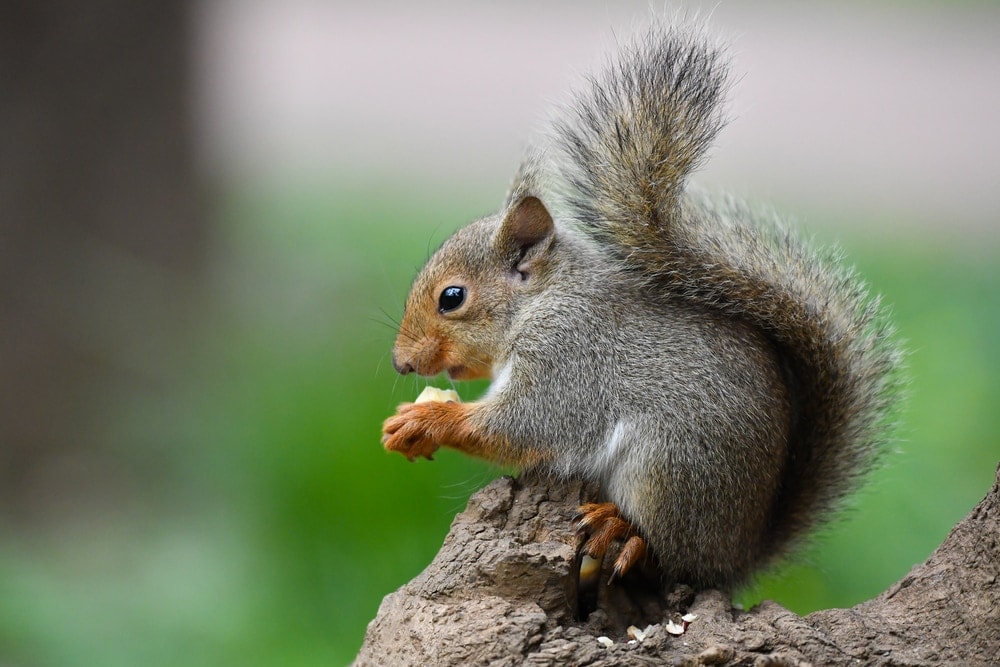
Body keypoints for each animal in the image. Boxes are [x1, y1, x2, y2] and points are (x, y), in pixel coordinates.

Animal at [381, 21, 902, 590]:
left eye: (452, 298)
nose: (401, 363)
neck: (541, 302)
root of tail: (734, 557)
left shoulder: (569, 355)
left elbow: (525, 424)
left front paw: (425, 420)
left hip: (670, 468)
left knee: (666, 554)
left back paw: (622, 531)